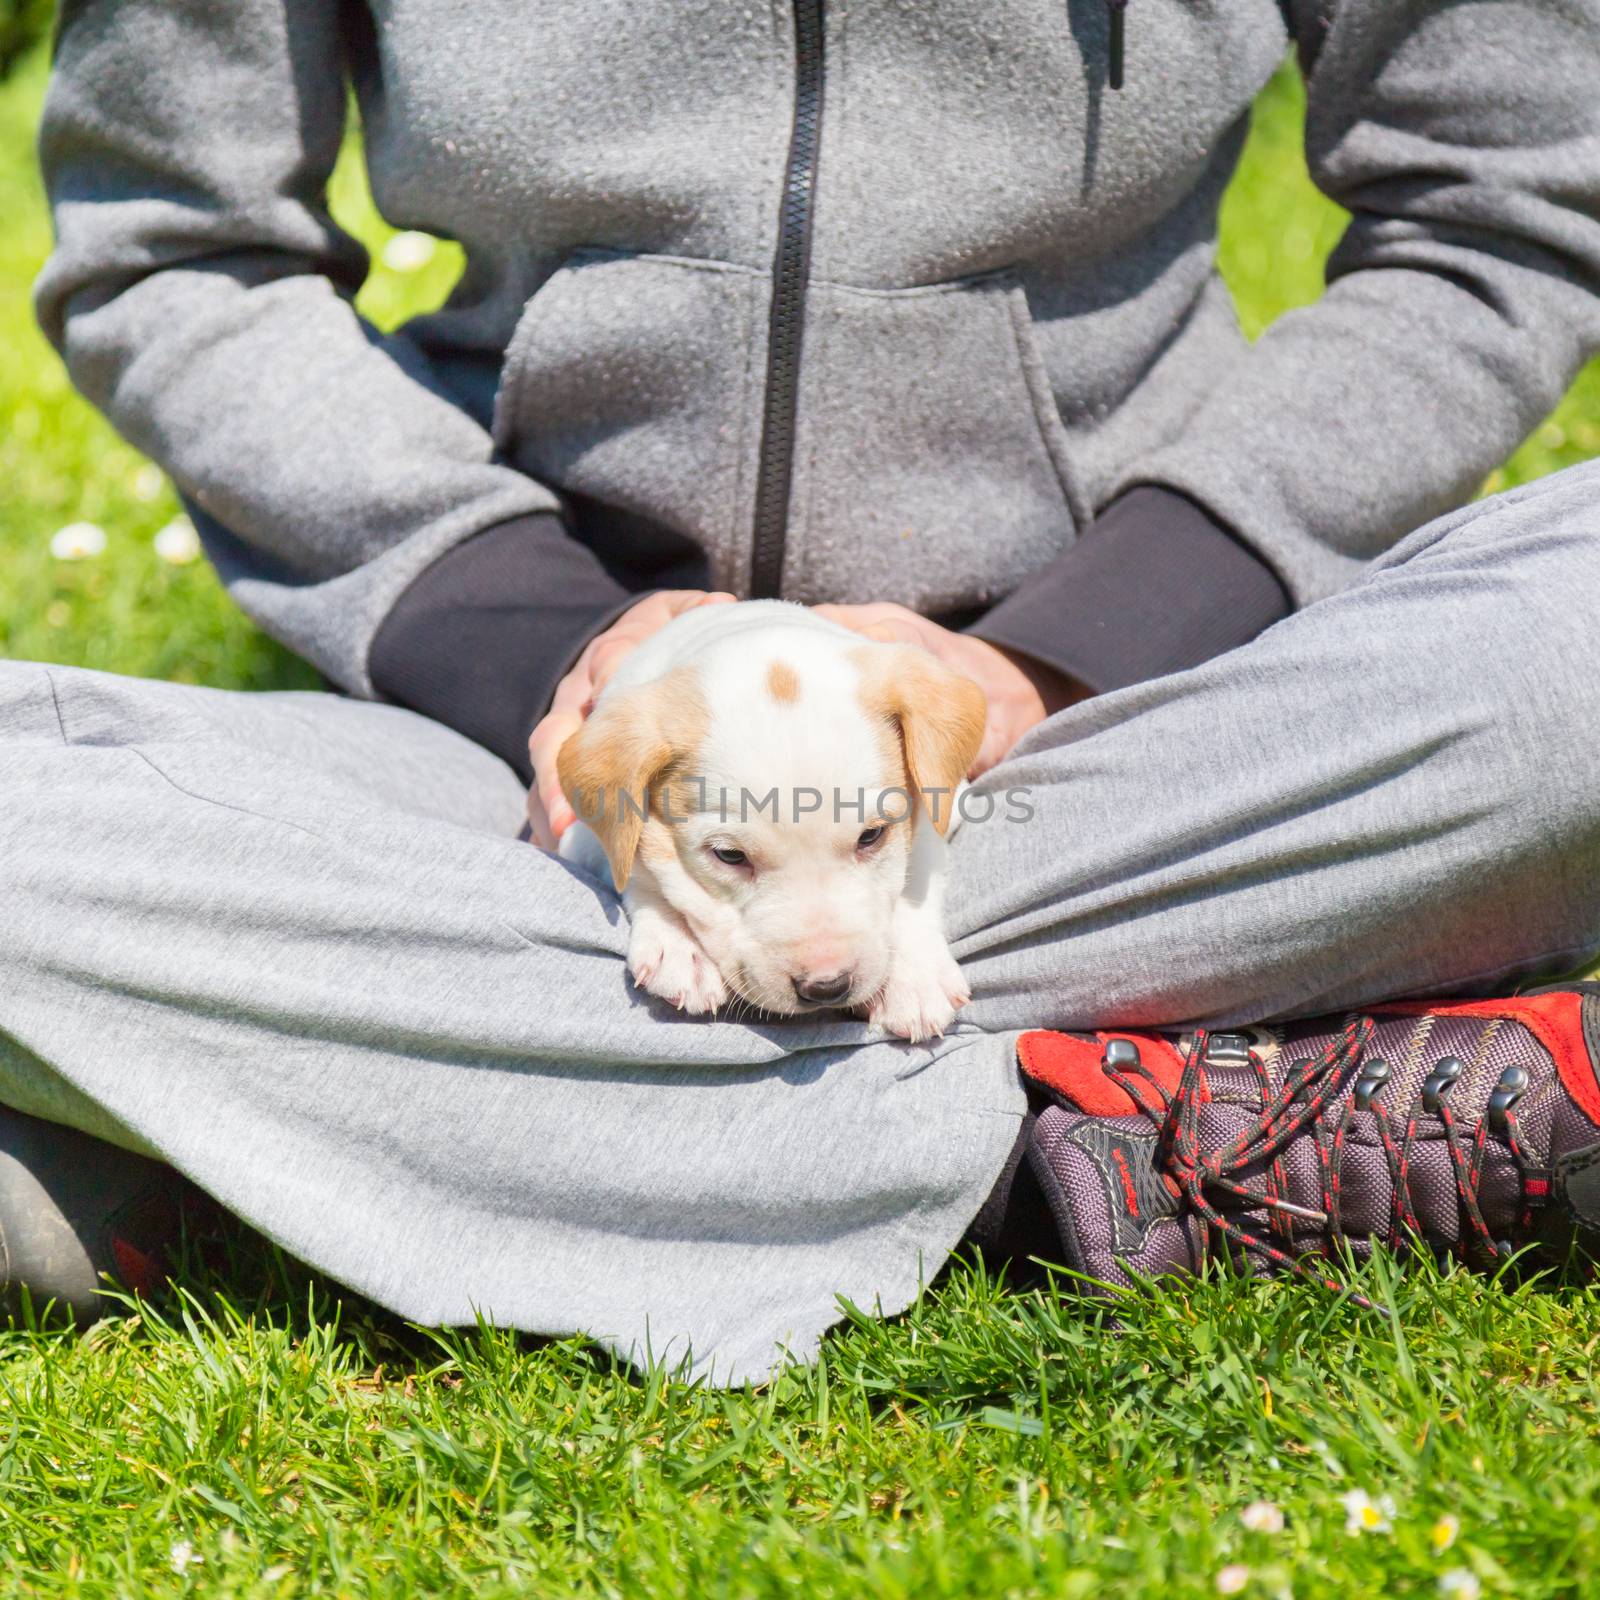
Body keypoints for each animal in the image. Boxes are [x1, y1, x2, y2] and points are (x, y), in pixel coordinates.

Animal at [560, 601, 985, 1036]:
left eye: (871, 836)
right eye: (729, 856)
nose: (827, 986)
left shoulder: (938, 804)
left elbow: (914, 883)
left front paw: (913, 978)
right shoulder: (582, 839)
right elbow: (637, 871)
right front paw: (678, 945)